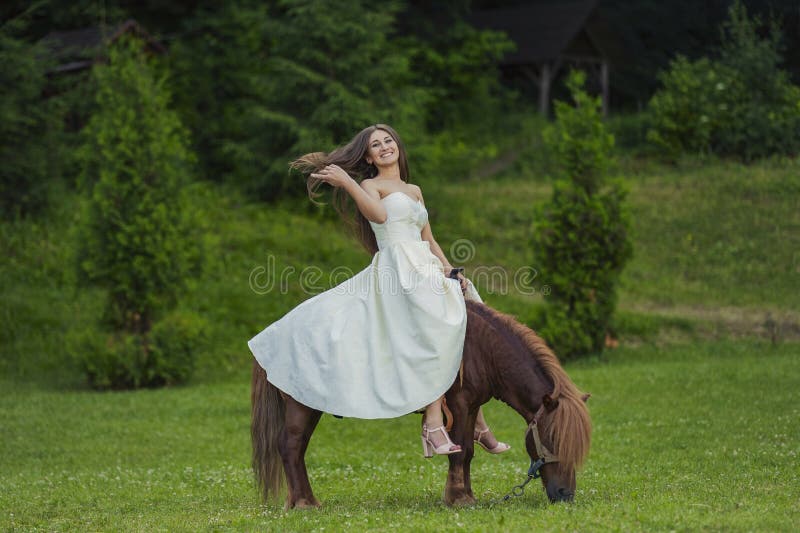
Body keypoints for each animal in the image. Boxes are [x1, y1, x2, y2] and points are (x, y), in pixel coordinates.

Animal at [253, 300, 592, 508]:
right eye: (552, 438)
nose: (566, 494)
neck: (483, 348)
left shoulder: (471, 407)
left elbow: (468, 452)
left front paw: (465, 494)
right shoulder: (459, 403)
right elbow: (459, 451)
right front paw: (458, 498)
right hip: (302, 407)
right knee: (291, 448)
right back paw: (305, 503)